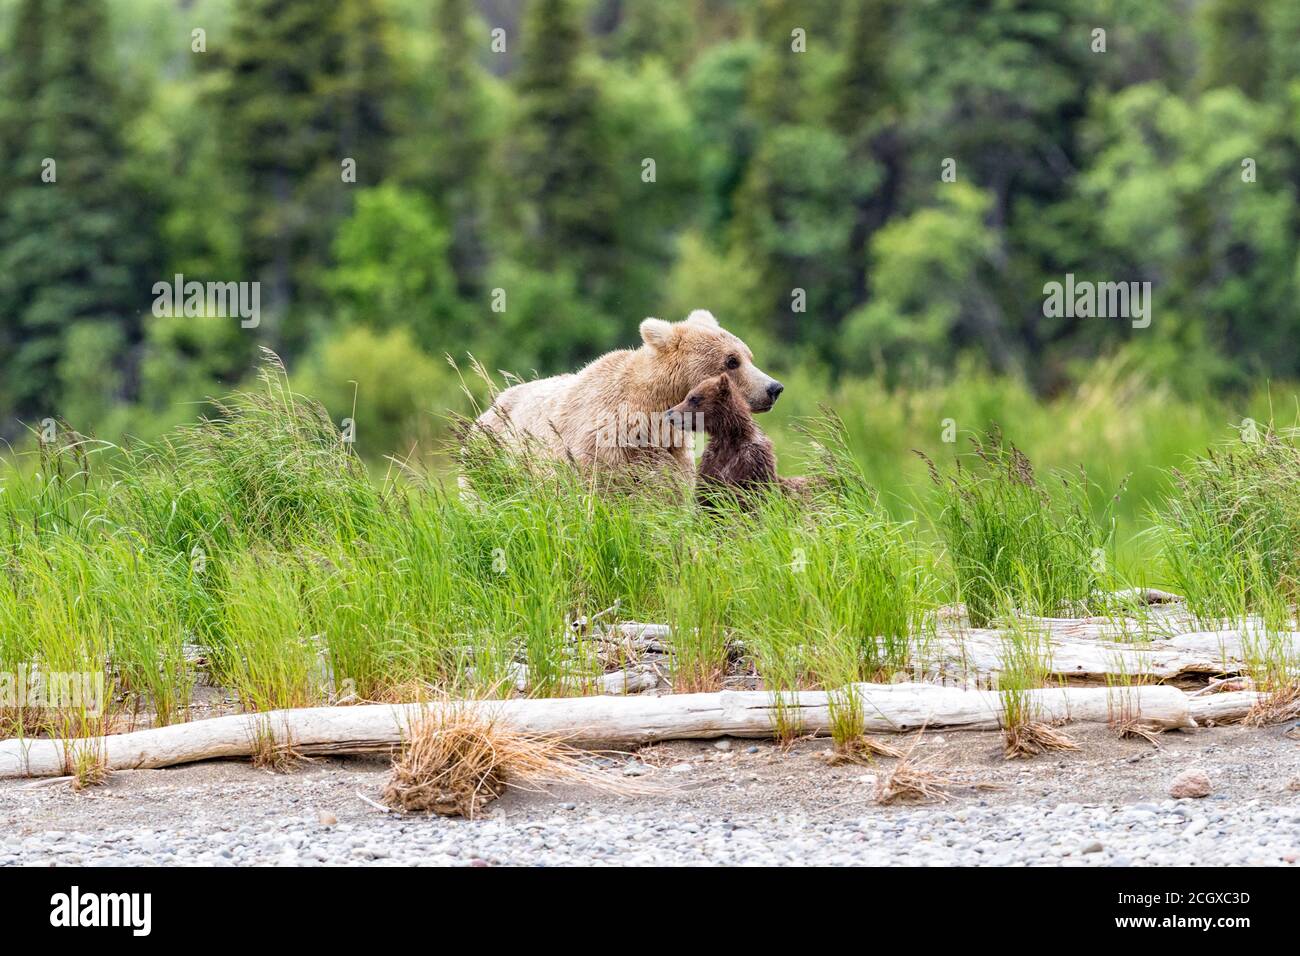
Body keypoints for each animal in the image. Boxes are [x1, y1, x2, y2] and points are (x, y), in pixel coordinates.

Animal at [470, 310, 783, 481]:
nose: (774, 388)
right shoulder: (599, 450)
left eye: (749, 356)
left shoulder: (671, 451)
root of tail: (490, 407)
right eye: (732, 361)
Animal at [662, 372, 809, 508]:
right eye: (688, 396)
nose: (669, 413)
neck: (729, 437)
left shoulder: (749, 462)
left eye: (694, 398)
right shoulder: (712, 461)